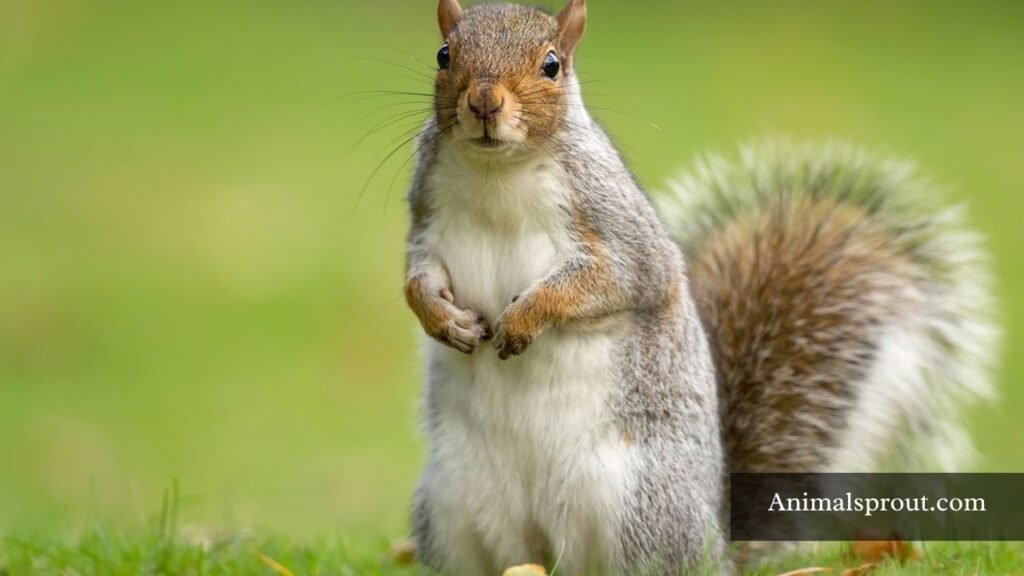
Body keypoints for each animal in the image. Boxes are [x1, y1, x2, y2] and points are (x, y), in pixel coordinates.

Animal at [401, 1, 998, 574]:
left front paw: (526, 318)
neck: (496, 172)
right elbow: (416, 279)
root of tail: (717, 544)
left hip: (637, 506)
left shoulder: (620, 233)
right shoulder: (426, 221)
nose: (484, 103)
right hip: (453, 504)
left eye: (551, 65)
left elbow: (616, 281)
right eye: (443, 54)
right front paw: (442, 318)